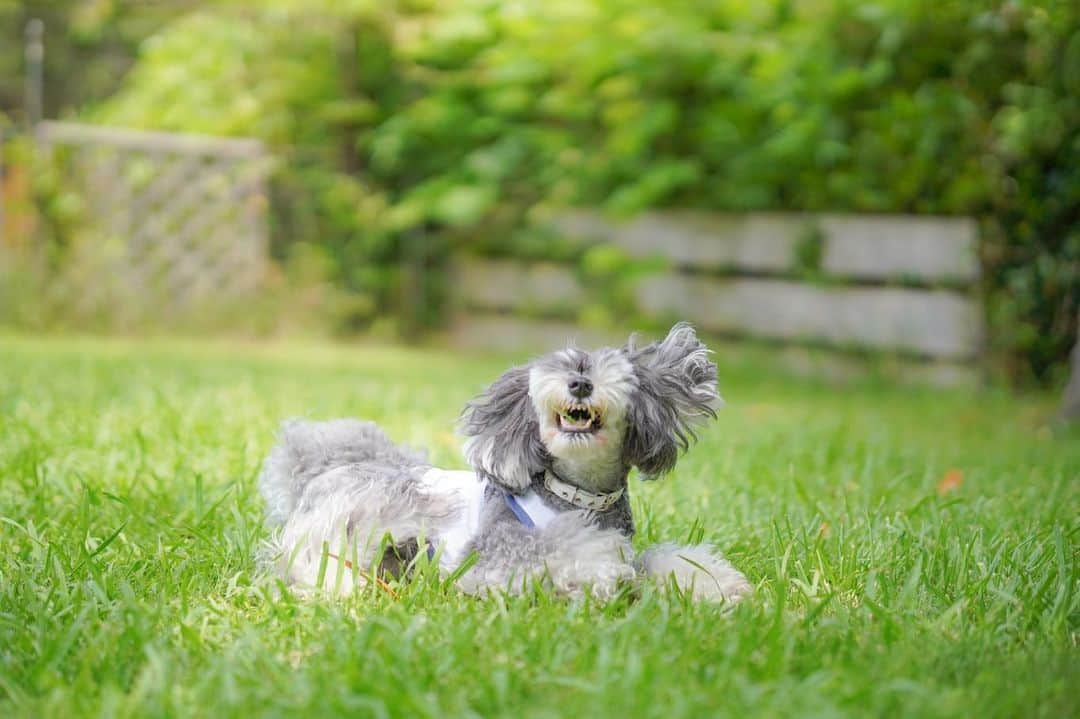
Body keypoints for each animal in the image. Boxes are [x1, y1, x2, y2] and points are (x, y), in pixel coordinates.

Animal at [260, 323, 751, 600]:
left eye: (601, 369)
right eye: (564, 366)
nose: (579, 383)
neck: (576, 497)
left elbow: (660, 561)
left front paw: (718, 586)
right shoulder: (494, 557)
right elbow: (563, 551)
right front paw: (599, 573)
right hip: (347, 525)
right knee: (311, 561)